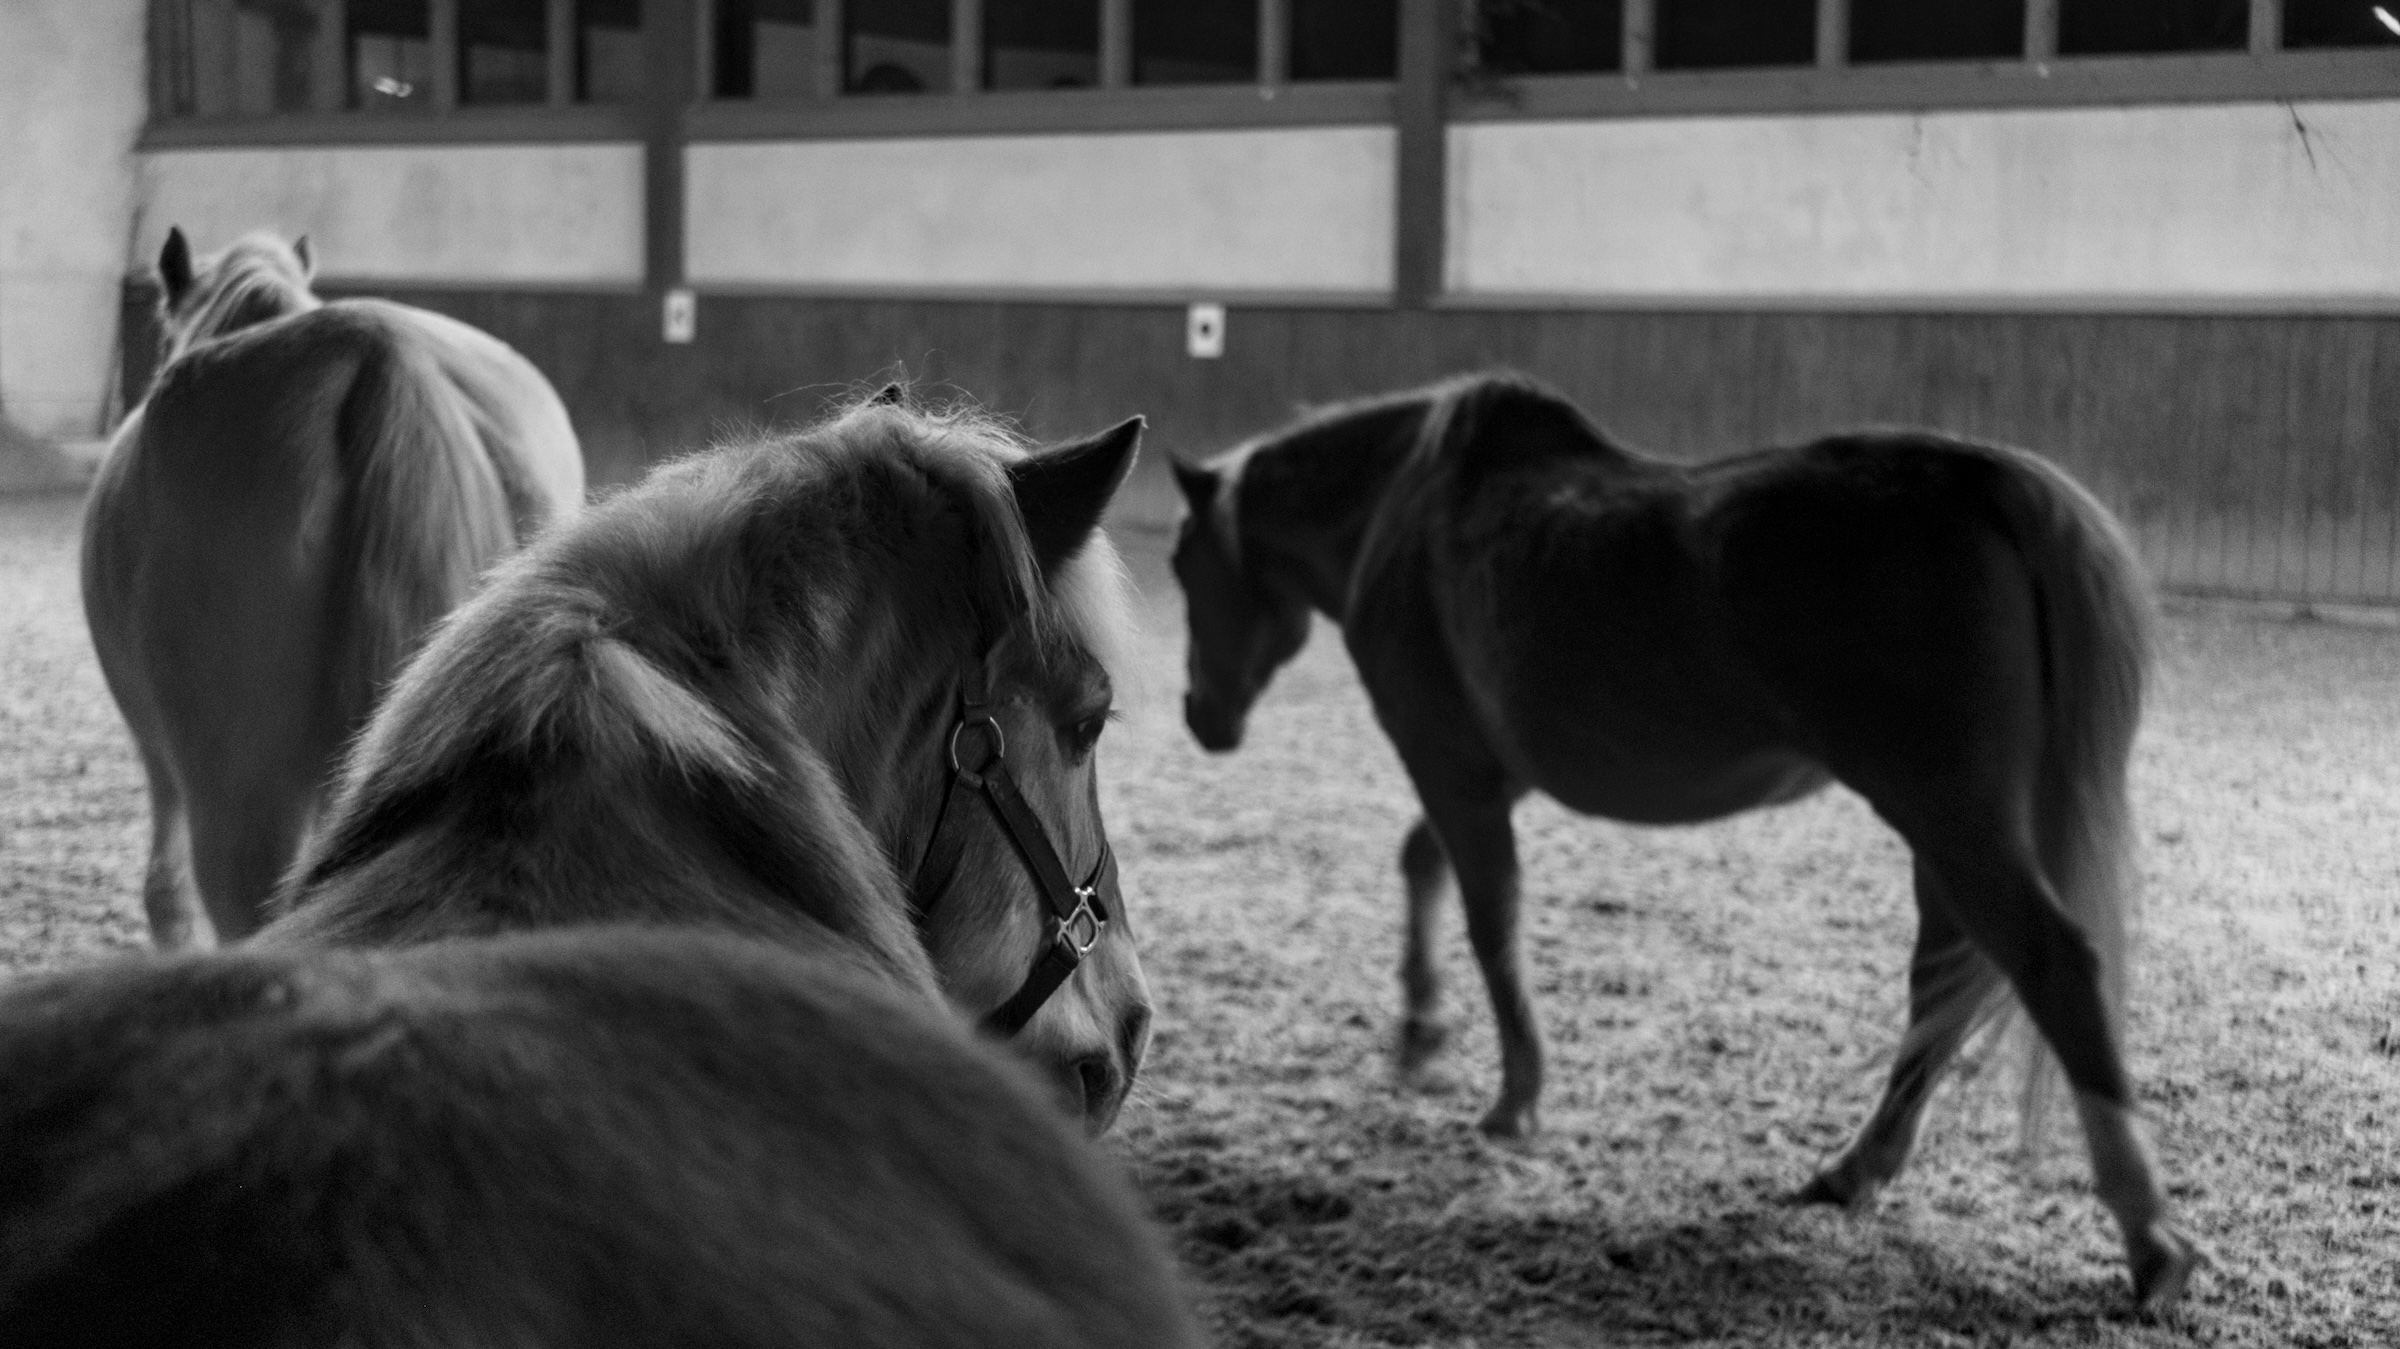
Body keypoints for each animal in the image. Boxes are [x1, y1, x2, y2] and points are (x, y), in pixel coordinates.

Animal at [1171, 367, 2198, 1305]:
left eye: (1185, 569)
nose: (1199, 716)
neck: (1405, 506)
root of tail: (1984, 483)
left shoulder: (1450, 765)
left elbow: (1492, 922)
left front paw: (1514, 1098)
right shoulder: (1481, 776)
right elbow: (1422, 861)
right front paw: (1421, 1030)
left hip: (1950, 815)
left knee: (2049, 964)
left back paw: (2148, 1237)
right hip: (1949, 827)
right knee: (1943, 982)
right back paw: (1857, 1167)